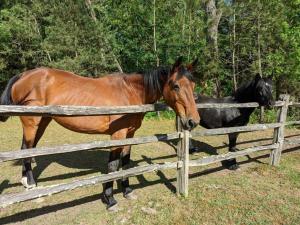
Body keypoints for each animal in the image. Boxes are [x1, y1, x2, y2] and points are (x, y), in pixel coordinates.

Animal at [1, 57, 200, 210]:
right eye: (175, 85)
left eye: (192, 85)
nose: (193, 121)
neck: (130, 92)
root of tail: (23, 75)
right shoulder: (117, 135)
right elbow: (112, 166)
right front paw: (110, 199)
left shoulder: (129, 134)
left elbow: (125, 162)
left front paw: (127, 191)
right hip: (31, 122)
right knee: (27, 149)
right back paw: (31, 184)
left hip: (42, 121)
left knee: (28, 148)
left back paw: (28, 183)